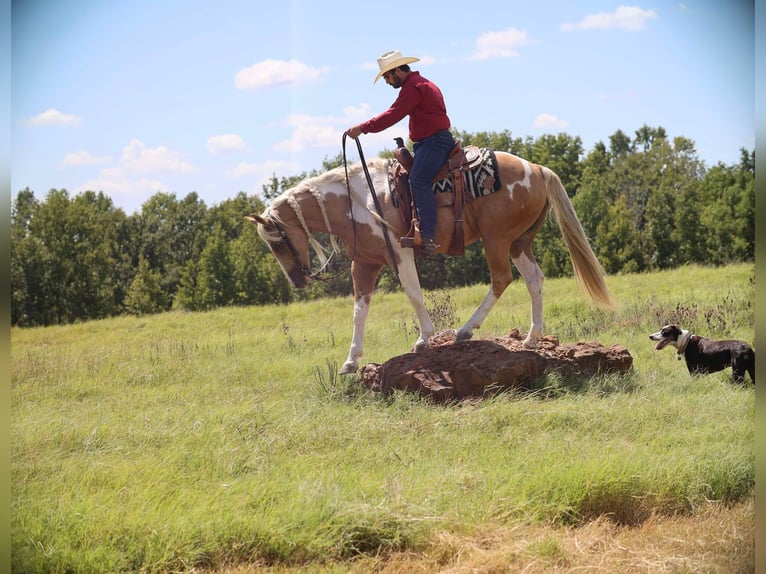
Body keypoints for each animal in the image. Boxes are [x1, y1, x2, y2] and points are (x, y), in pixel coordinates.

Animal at [249, 151, 616, 376]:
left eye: (278, 242)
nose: (297, 281)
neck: (357, 201)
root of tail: (537, 169)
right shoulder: (364, 264)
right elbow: (359, 310)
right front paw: (350, 361)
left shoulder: (399, 253)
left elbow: (413, 293)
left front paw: (424, 338)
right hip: (518, 243)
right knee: (534, 279)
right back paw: (530, 338)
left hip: (496, 239)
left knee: (501, 279)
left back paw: (465, 331)